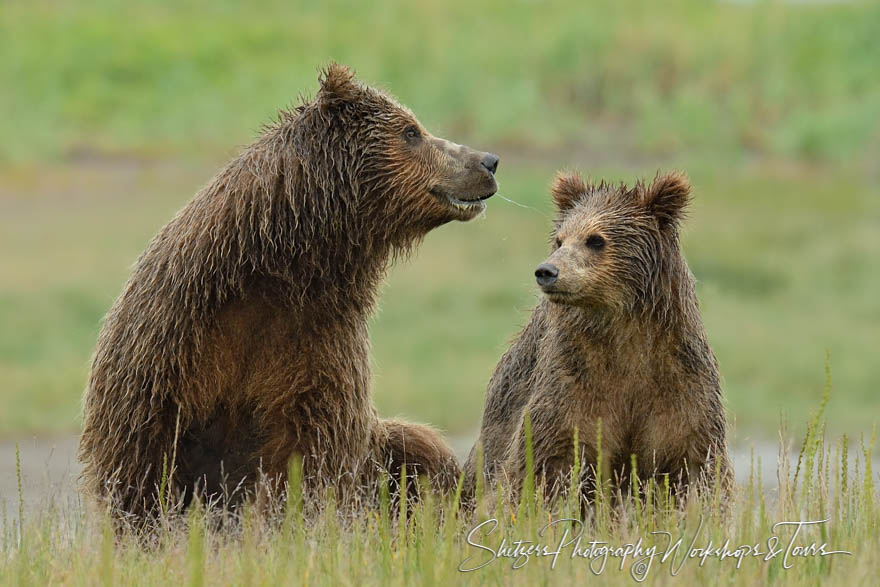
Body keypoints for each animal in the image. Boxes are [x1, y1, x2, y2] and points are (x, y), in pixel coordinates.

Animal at [79, 63, 498, 524]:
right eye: (411, 131)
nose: (487, 160)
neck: (279, 268)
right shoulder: (172, 342)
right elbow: (143, 461)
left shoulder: (315, 339)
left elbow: (310, 449)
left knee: (421, 449)